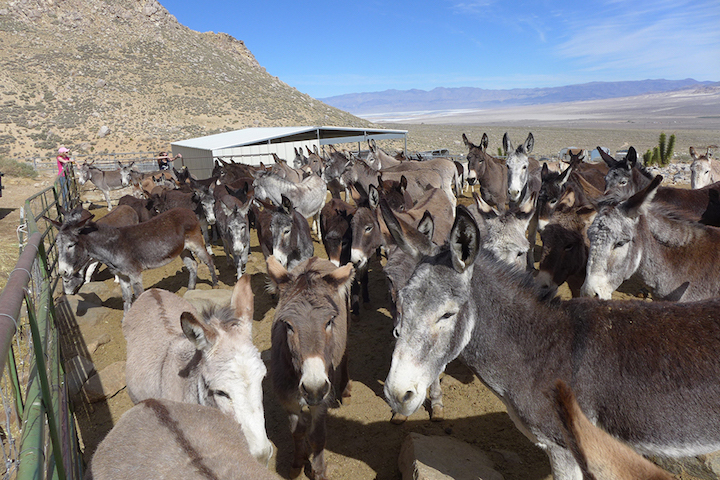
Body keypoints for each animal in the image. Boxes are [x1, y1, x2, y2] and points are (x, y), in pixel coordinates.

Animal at [49, 207, 217, 312]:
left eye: (71, 245)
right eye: (57, 244)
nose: (62, 272)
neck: (112, 246)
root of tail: (187, 210)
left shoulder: (135, 274)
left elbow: (139, 295)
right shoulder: (123, 276)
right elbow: (127, 299)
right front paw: (126, 320)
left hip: (196, 243)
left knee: (208, 260)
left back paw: (215, 285)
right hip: (183, 250)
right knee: (193, 265)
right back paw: (190, 290)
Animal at [266, 256, 354, 480]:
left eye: (329, 321)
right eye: (288, 325)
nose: (314, 388)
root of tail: (316, 258)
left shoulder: (322, 399)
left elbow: (317, 435)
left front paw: (319, 470)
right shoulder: (287, 399)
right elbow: (297, 431)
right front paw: (298, 463)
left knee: (346, 356)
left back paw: (345, 389)